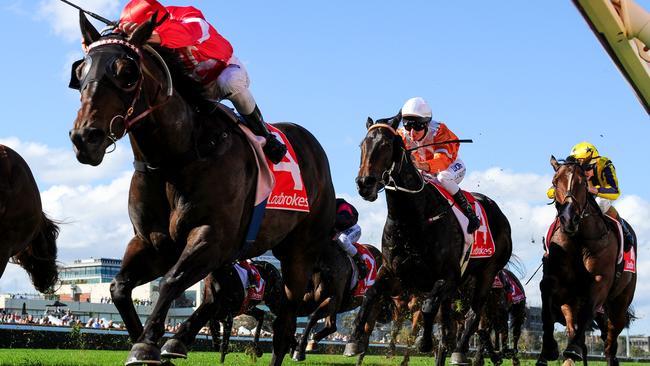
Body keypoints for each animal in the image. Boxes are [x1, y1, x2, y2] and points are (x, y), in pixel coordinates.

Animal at [69, 12, 334, 364]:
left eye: (126, 72)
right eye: (79, 72)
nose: (86, 138)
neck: (177, 156)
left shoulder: (210, 236)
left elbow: (172, 280)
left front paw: (147, 344)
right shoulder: (152, 243)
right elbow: (120, 287)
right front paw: (149, 342)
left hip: (299, 253)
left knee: (284, 324)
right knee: (225, 295)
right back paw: (180, 339)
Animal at [344, 116, 512, 364]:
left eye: (386, 145)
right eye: (362, 145)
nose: (365, 183)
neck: (412, 218)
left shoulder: (448, 277)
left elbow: (428, 306)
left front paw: (424, 342)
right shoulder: (394, 273)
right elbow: (370, 294)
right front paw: (353, 340)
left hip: (487, 274)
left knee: (474, 314)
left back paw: (460, 350)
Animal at [536, 156, 636, 366]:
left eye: (582, 183)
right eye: (554, 182)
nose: (568, 219)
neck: (579, 238)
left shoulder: (599, 280)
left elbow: (588, 312)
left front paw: (572, 349)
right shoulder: (556, 280)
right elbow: (546, 299)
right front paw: (548, 349)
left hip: (620, 302)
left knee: (610, 339)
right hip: (572, 302)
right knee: (579, 327)